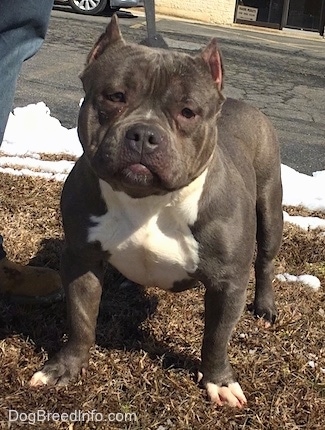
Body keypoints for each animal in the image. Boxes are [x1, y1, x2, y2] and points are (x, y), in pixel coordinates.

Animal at [31, 15, 284, 408]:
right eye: (115, 96)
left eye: (188, 112)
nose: (144, 134)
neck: (148, 200)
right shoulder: (80, 259)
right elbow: (80, 319)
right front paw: (65, 367)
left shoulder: (228, 282)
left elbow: (216, 337)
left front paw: (219, 380)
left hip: (271, 207)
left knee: (266, 260)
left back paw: (265, 306)